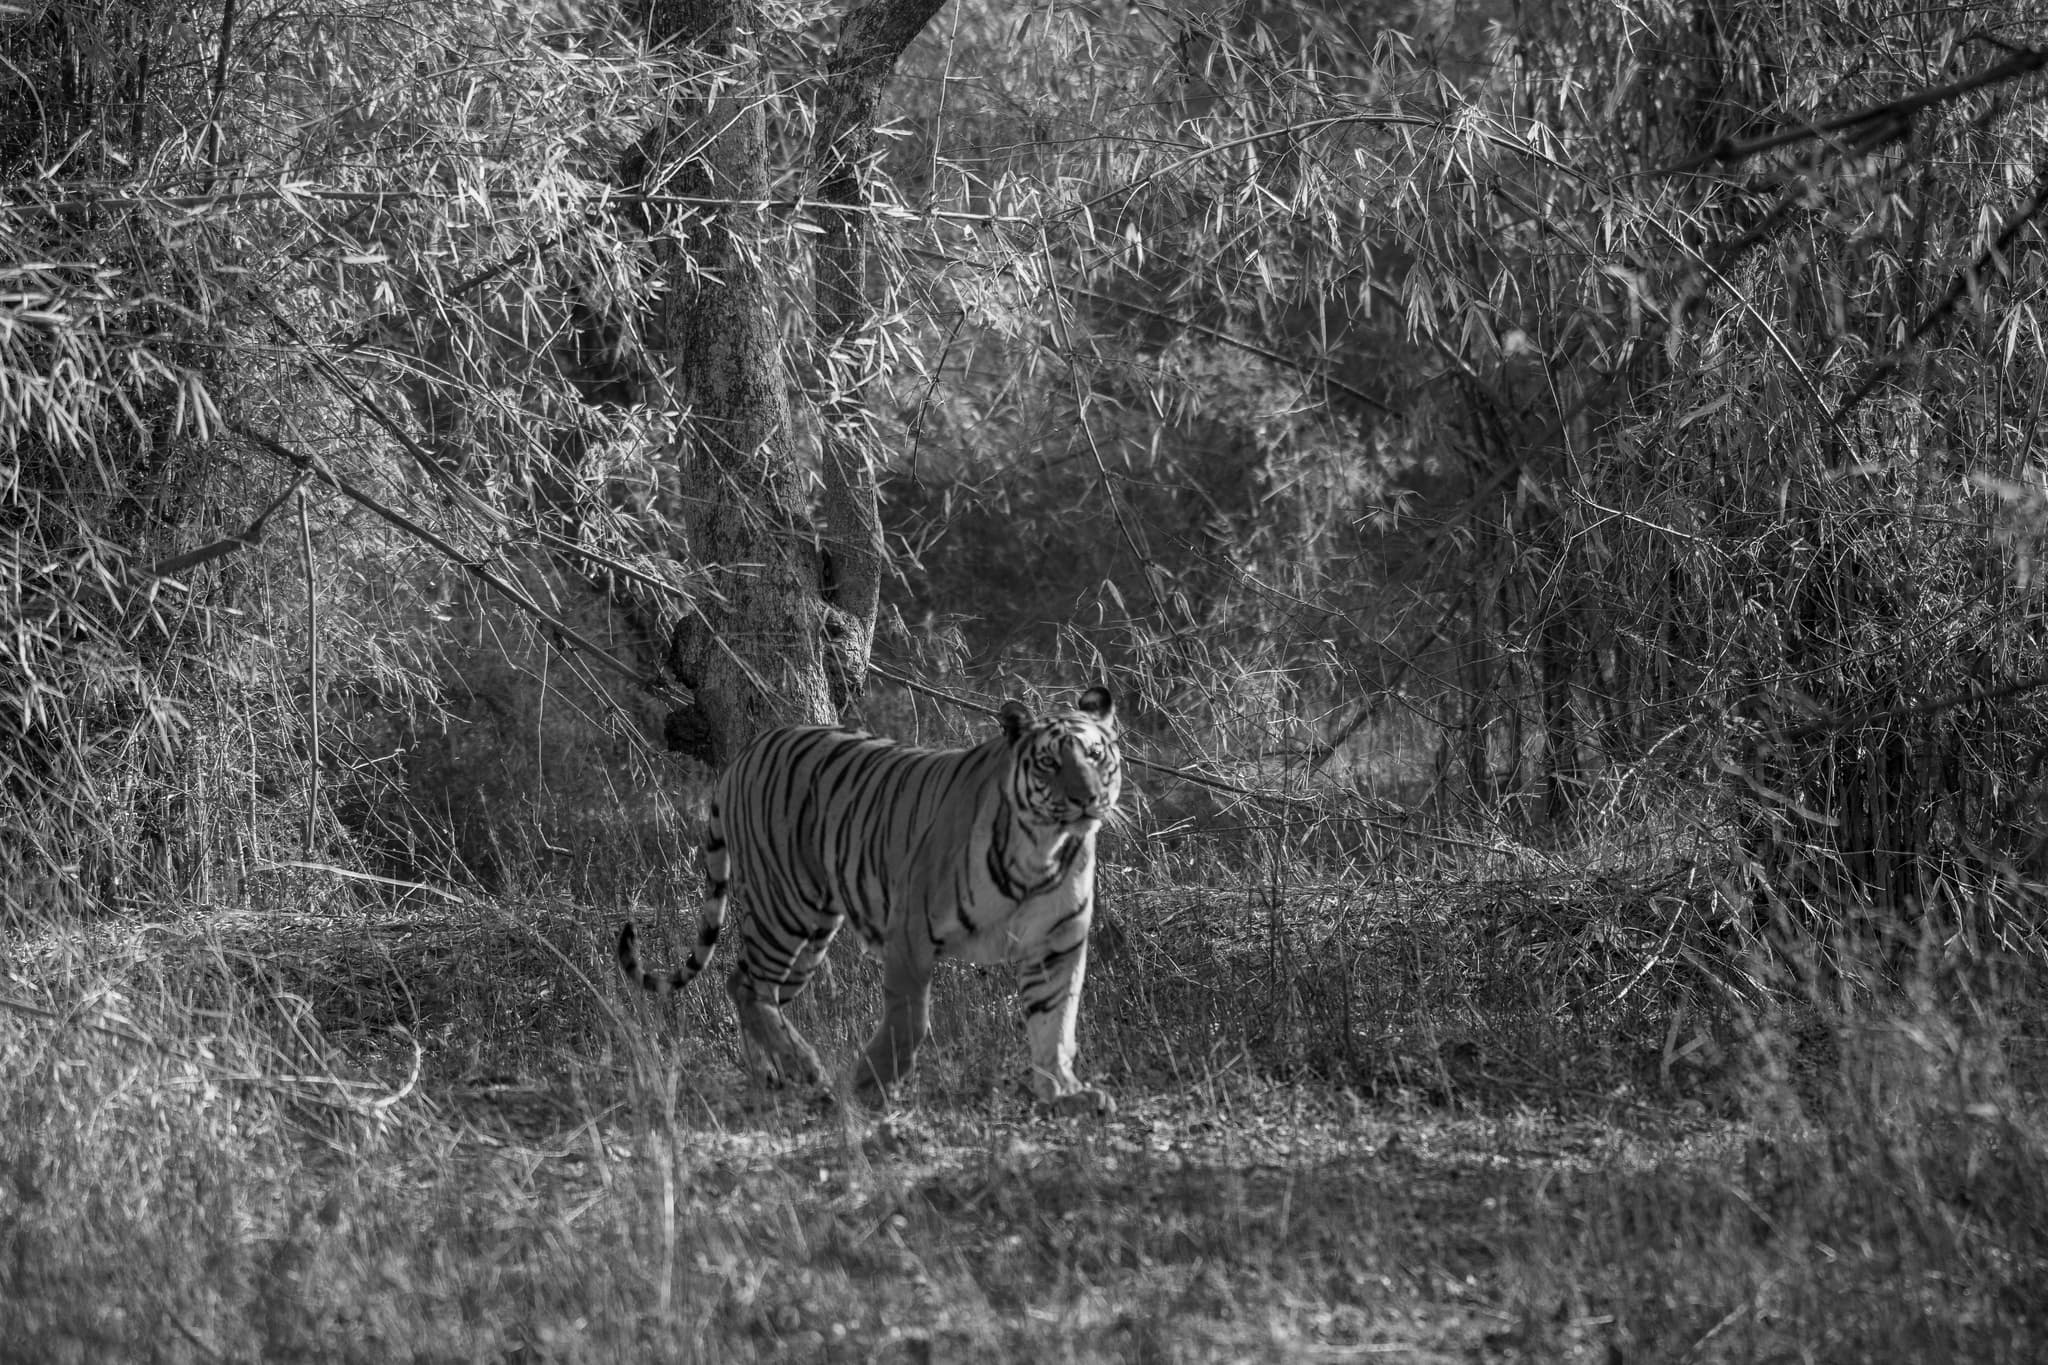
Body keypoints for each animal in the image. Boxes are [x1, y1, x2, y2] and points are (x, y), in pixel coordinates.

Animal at [617, 686, 1123, 1115]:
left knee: (752, 988)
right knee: (745, 985)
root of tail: (748, 751)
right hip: (786, 908)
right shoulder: (911, 931)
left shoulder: (1055, 943)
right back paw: (806, 1069)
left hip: (812, 933)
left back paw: (773, 1077)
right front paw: (870, 1083)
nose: (1087, 798)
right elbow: (910, 1019)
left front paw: (1065, 1091)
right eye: (1048, 763)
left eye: (1095, 756)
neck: (1044, 848)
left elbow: (1056, 1021)